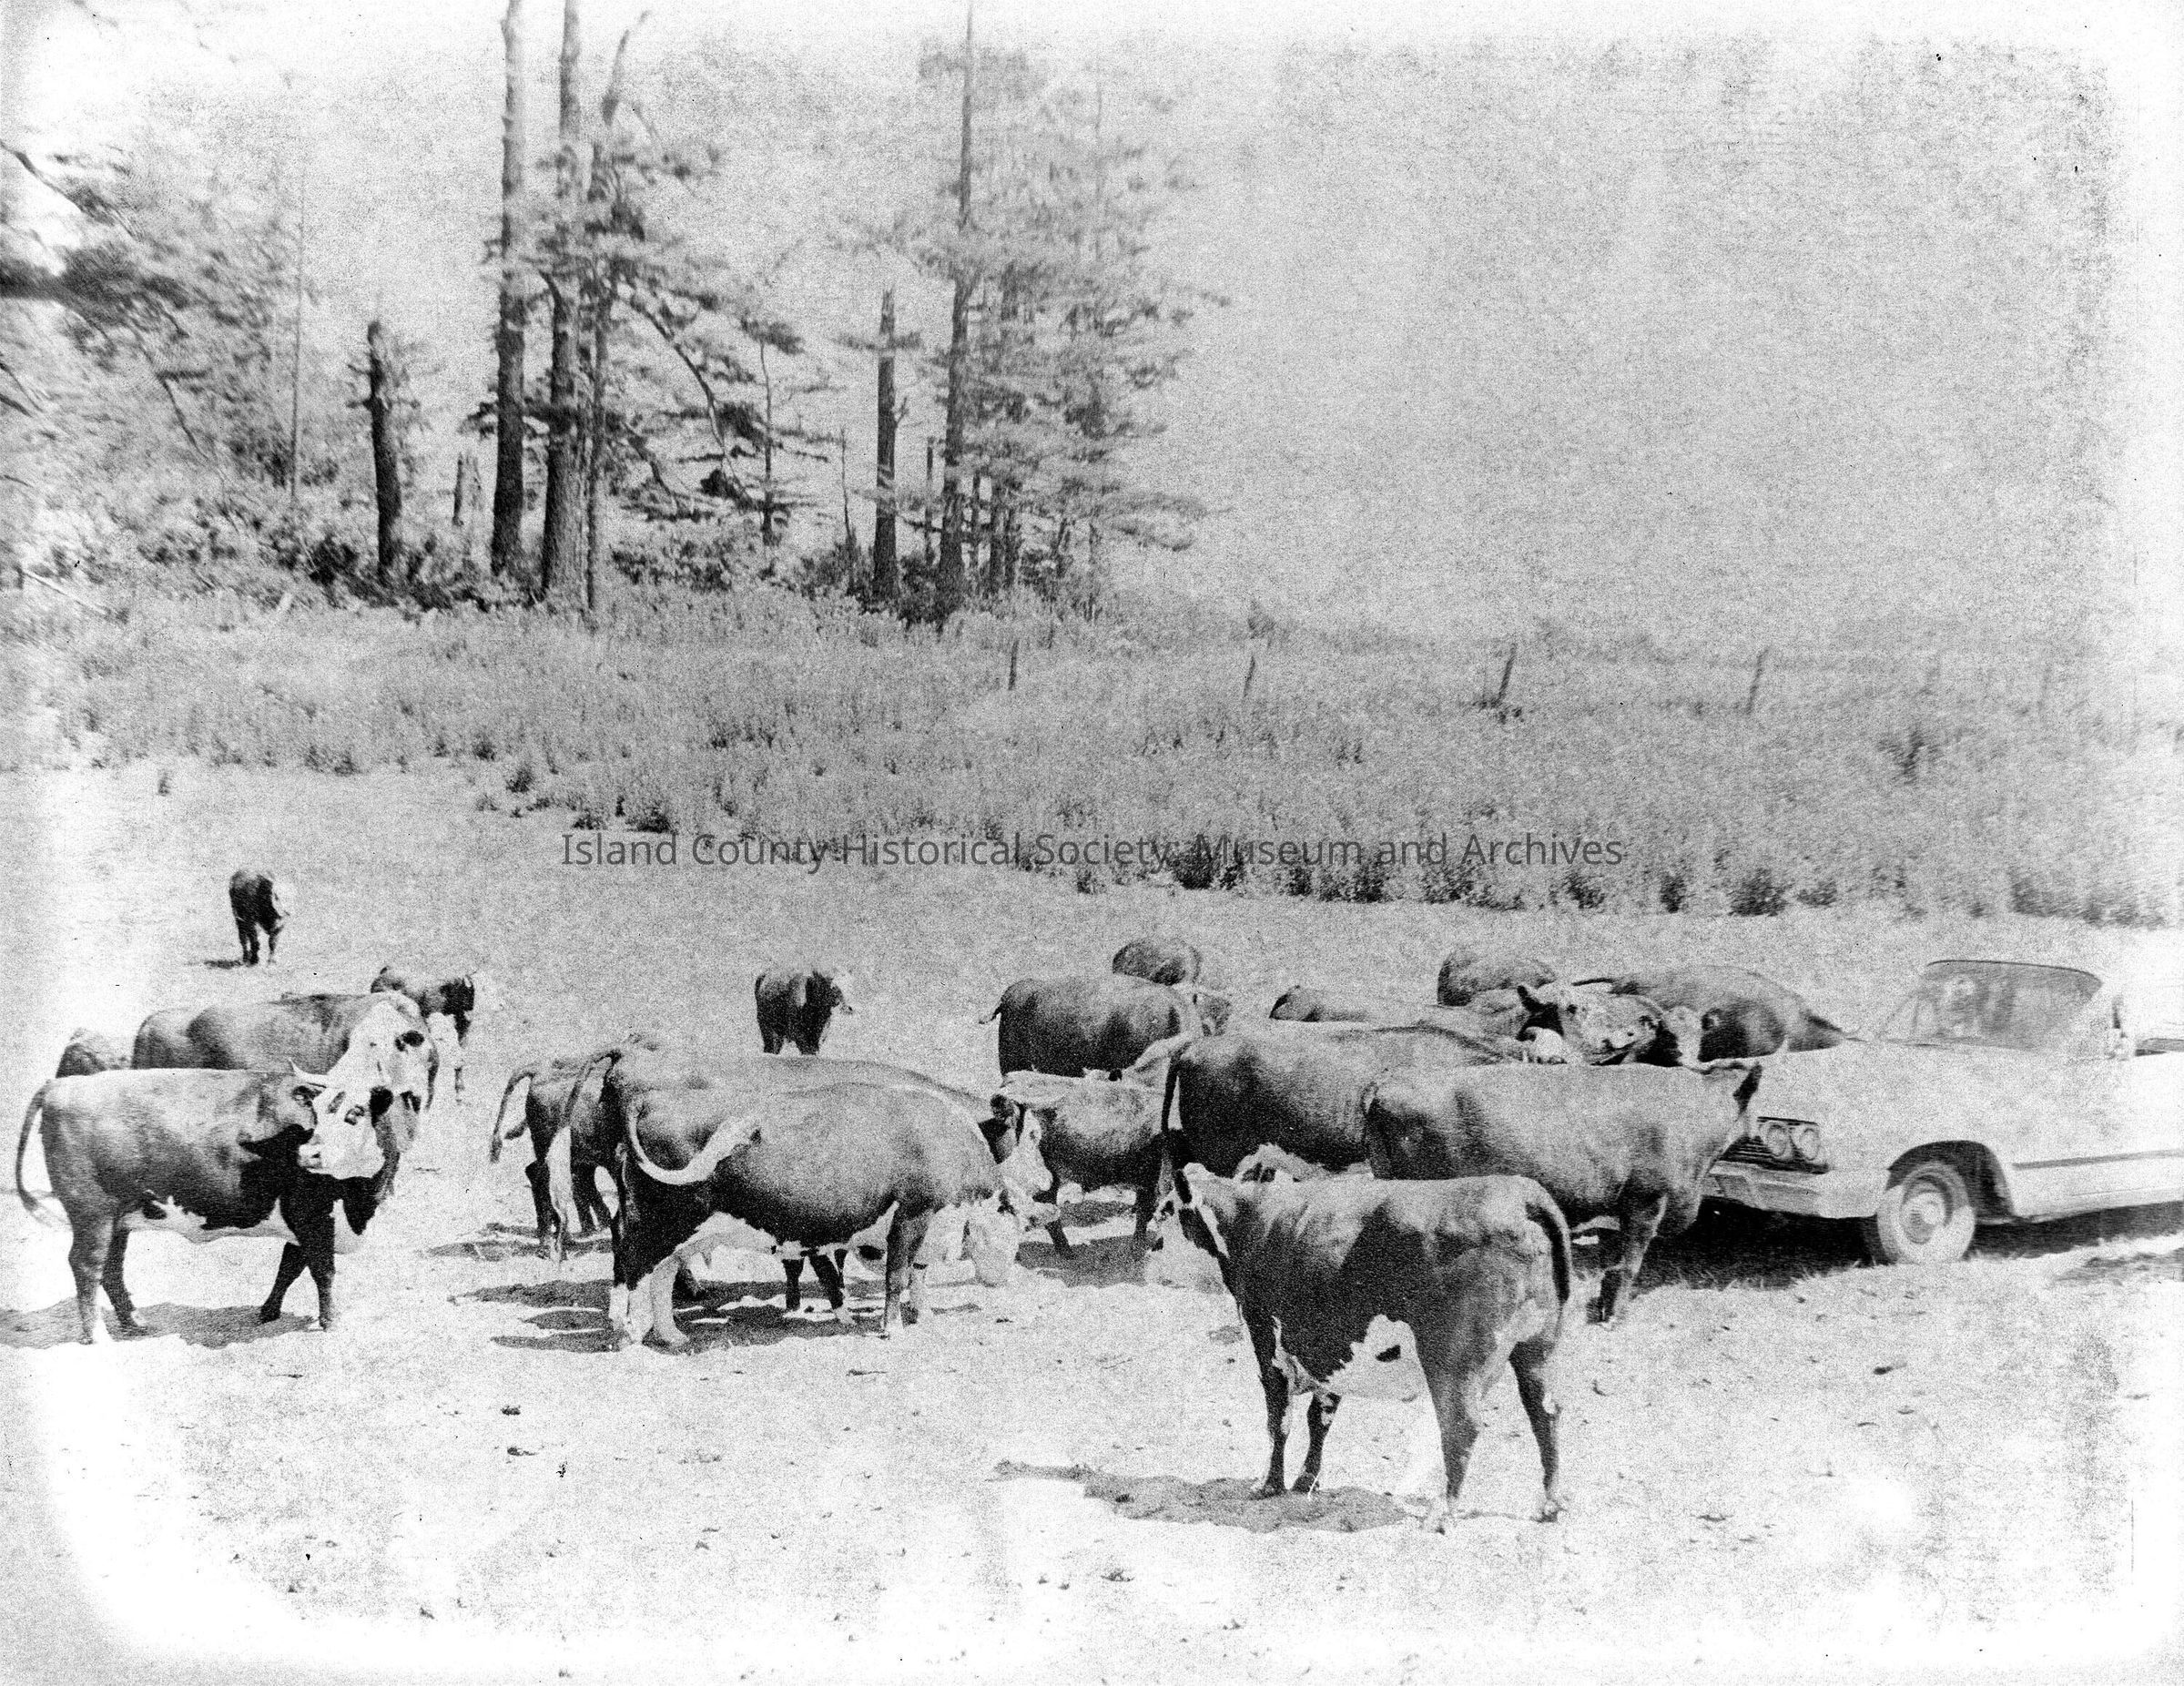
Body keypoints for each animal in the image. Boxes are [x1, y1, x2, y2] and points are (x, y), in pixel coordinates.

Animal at [16, 1062, 409, 1342]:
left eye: (355, 1112)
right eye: (317, 1114)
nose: (307, 1154)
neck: (361, 1204)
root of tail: (63, 1084)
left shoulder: (301, 1223)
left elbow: (289, 1267)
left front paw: (268, 1311)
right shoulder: (311, 1216)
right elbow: (322, 1271)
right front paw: (330, 1321)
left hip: (119, 1218)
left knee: (111, 1268)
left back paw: (135, 1323)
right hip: (92, 1214)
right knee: (87, 1265)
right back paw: (97, 1335)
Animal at [593, 1052, 1048, 1347]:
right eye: (1033, 1135)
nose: (1046, 1180)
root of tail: (652, 1100)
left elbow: (914, 1275)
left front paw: (924, 1315)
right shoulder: (910, 1217)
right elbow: (896, 1276)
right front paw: (892, 1328)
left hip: (682, 1233)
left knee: (663, 1274)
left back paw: (671, 1335)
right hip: (657, 1223)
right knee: (633, 1266)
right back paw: (629, 1332)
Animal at [1157, 1159, 1572, 1530]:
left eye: (1166, 1208)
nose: (1150, 1242)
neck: (1246, 1219)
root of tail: (1520, 1193)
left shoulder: (1266, 1339)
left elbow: (1279, 1418)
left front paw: (1269, 1484)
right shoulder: (1331, 1349)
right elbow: (1319, 1417)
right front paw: (1307, 1480)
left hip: (1453, 1360)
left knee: (1462, 1425)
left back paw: (1442, 1513)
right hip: (1537, 1346)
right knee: (1546, 1412)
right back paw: (1550, 1505)